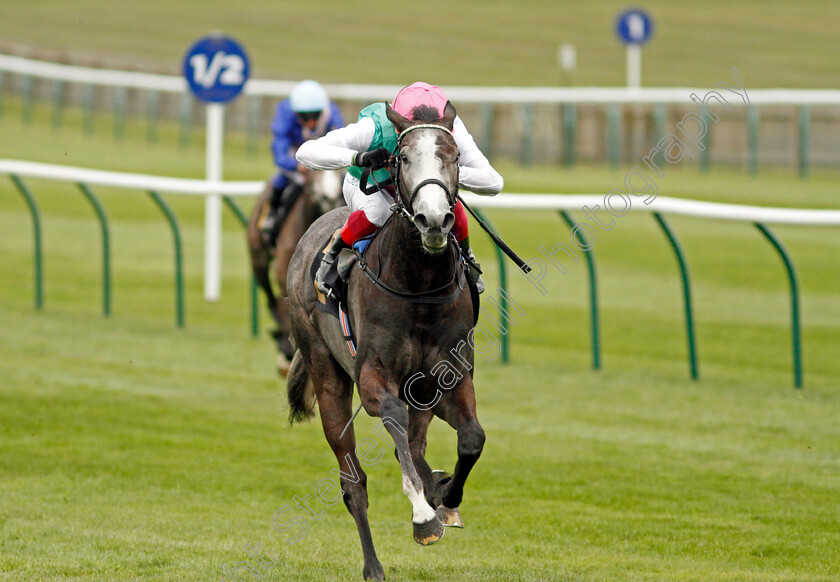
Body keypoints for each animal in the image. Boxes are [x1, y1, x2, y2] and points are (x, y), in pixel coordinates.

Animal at [288, 102, 486, 580]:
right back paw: (373, 564)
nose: (433, 220)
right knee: (353, 481)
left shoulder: (449, 376)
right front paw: (423, 514)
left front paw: (446, 496)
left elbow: (472, 437)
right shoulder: (374, 377)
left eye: (454, 157)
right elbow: (393, 417)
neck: (418, 285)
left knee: (414, 445)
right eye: (402, 158)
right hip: (326, 373)